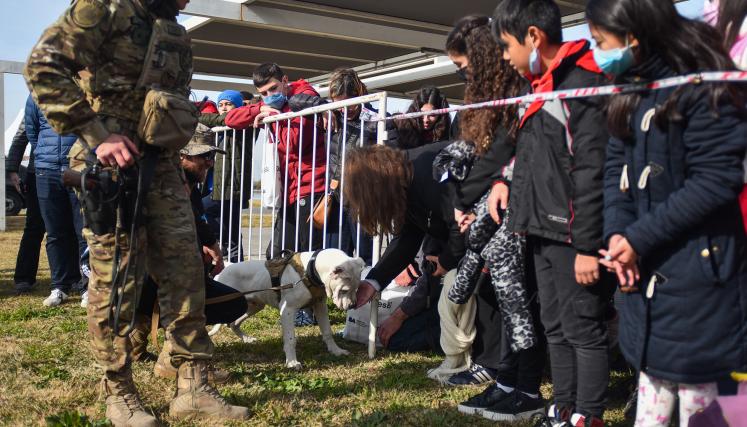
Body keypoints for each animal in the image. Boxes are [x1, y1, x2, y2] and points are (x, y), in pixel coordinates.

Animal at [212, 248, 366, 369]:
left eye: (357, 288)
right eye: (344, 290)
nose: (353, 306)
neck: (309, 271)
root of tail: (224, 269)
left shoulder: (320, 306)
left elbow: (327, 332)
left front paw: (336, 351)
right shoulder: (287, 310)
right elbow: (291, 339)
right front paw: (292, 362)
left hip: (254, 306)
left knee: (233, 323)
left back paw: (247, 339)